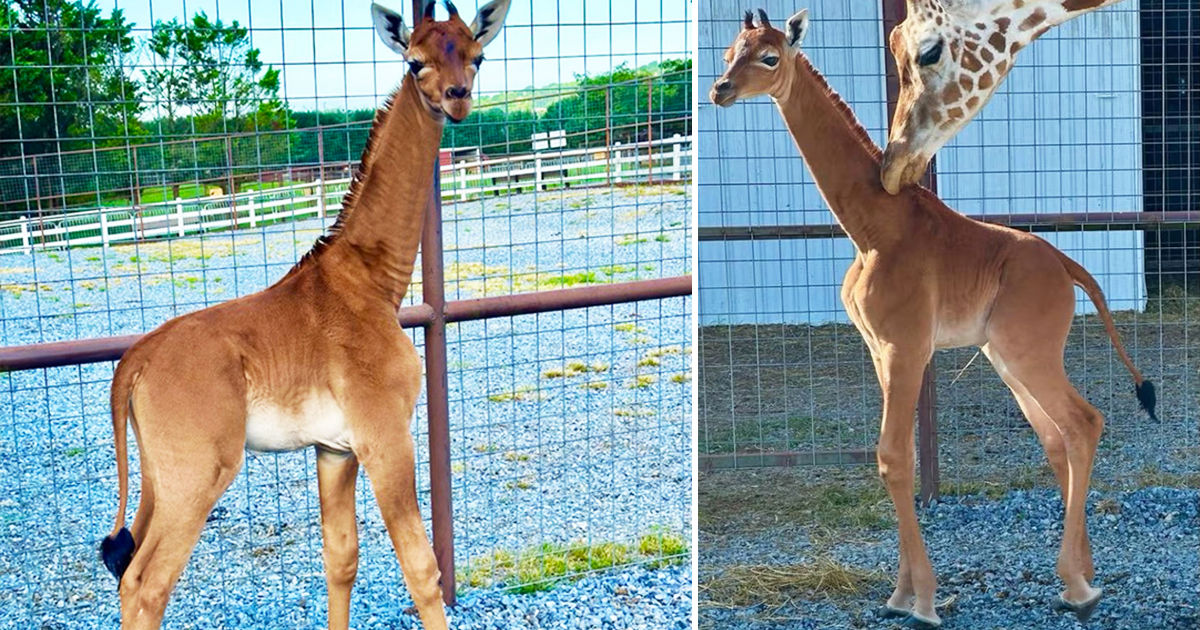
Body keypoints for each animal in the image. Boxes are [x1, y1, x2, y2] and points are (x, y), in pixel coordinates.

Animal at [97, 1, 512, 628]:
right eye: (414, 62)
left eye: (477, 55)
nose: (458, 97)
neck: (371, 282)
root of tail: (133, 364)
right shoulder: (385, 435)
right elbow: (423, 569)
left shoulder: (334, 449)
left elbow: (340, 559)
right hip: (198, 473)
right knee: (147, 582)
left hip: (158, 475)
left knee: (125, 566)